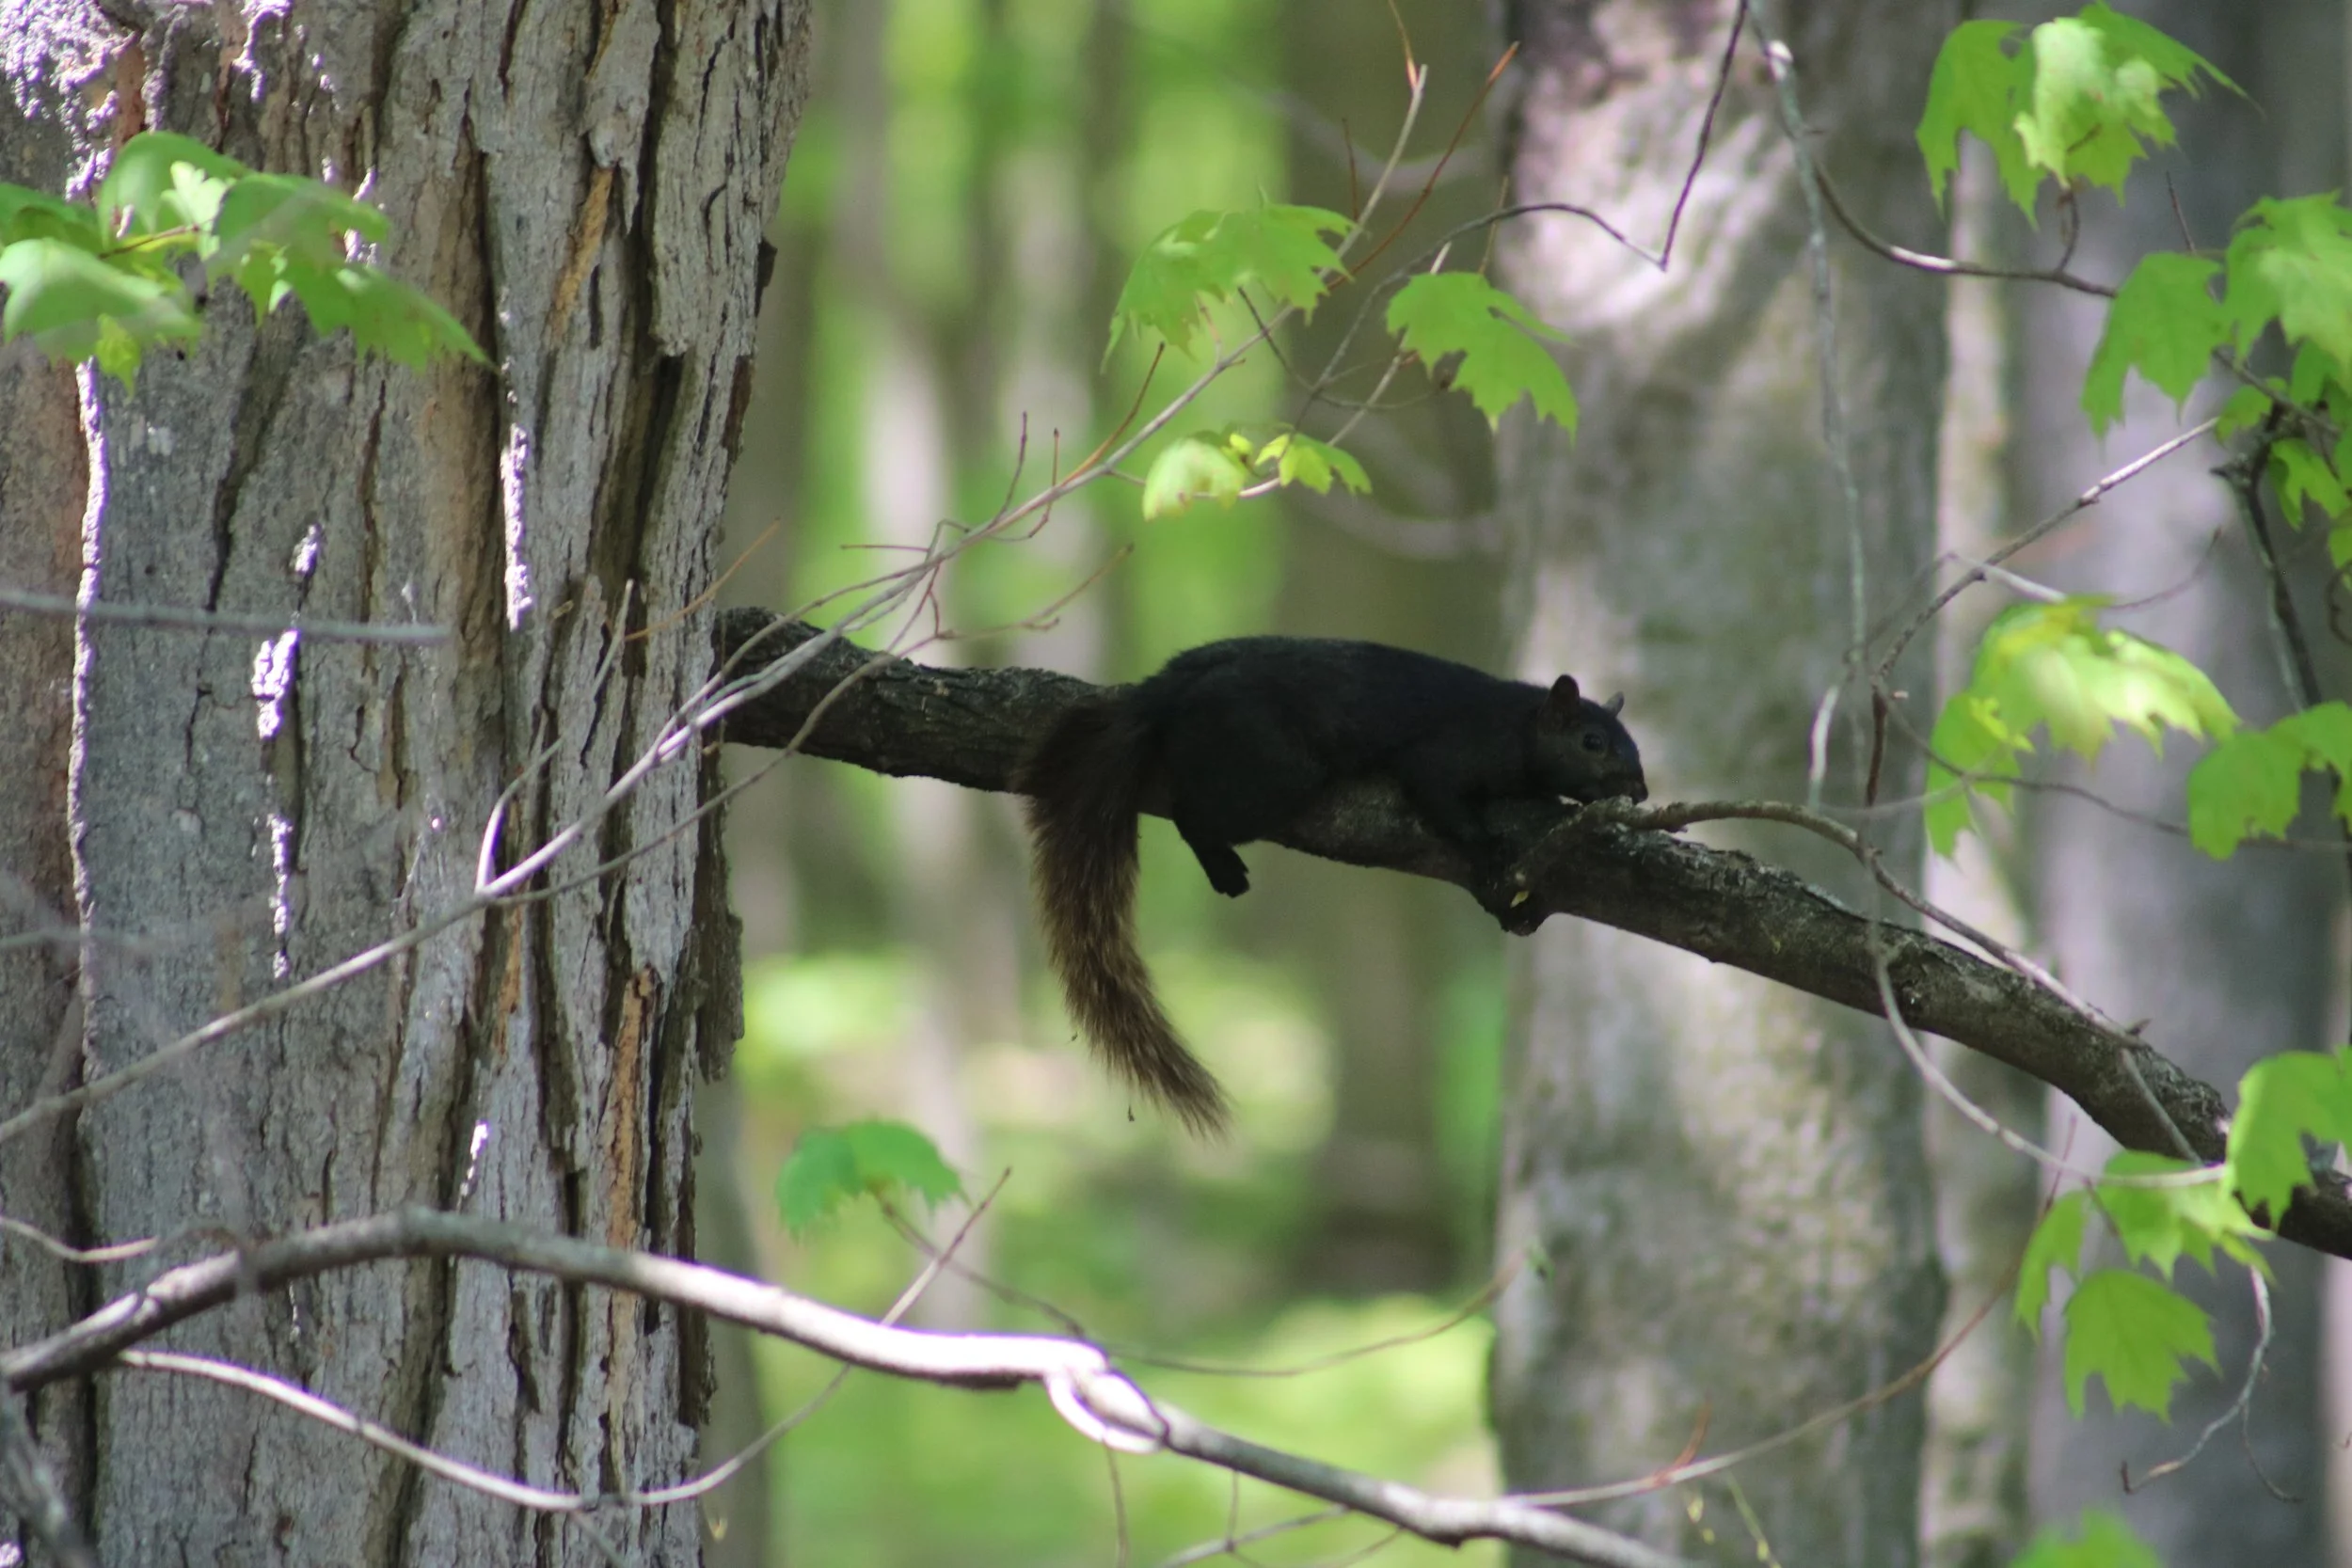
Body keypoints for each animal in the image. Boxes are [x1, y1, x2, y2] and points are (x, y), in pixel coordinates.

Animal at [1017, 636, 1648, 1133]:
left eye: (1633, 742)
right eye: (1592, 742)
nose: (1640, 792)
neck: (1519, 722)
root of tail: (1166, 687)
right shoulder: (1451, 752)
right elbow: (1439, 791)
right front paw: (1488, 848)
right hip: (1277, 769)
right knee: (1194, 813)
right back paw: (1223, 866)